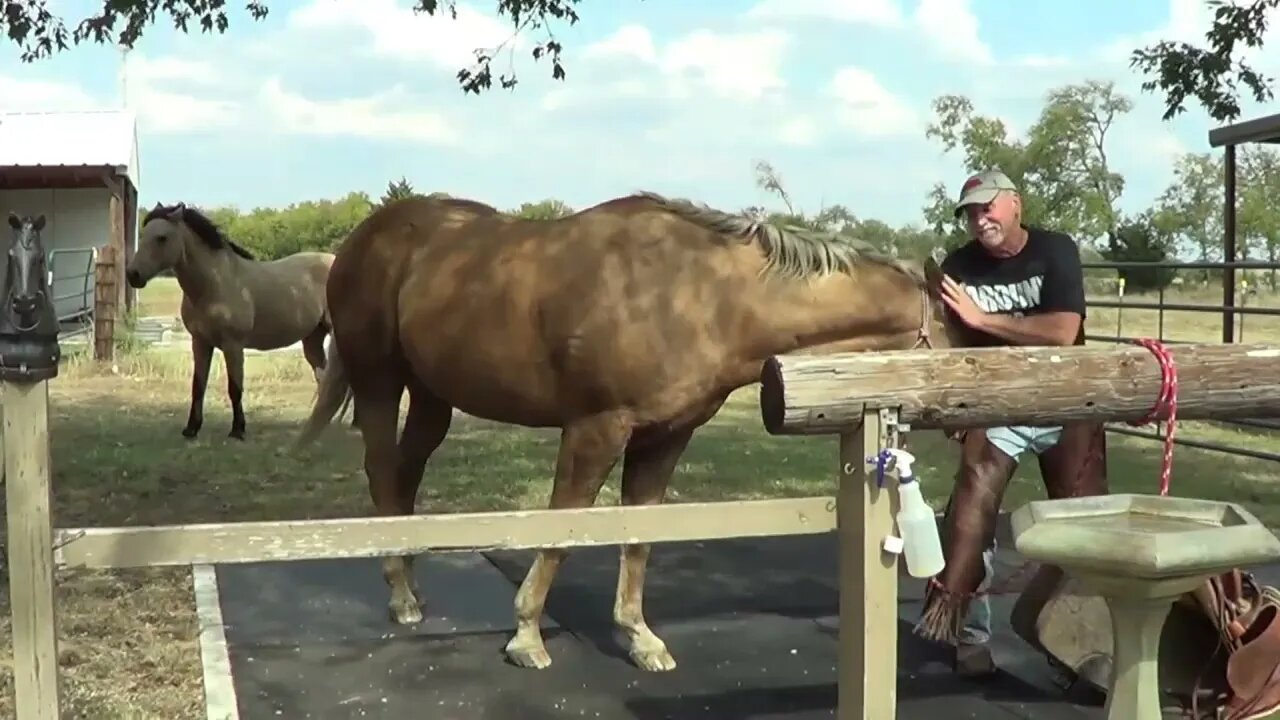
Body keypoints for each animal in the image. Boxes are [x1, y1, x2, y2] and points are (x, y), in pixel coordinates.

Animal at [124, 202, 332, 438]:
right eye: (143, 236)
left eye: (162, 237)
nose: (133, 274)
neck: (215, 283)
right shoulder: (200, 342)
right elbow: (198, 385)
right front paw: (191, 428)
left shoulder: (233, 346)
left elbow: (235, 388)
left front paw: (238, 429)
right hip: (313, 338)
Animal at [296, 192, 962, 671]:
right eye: (962, 338)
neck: (705, 295)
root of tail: (364, 237)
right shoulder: (596, 430)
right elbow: (564, 530)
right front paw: (527, 635)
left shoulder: (666, 436)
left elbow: (640, 536)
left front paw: (640, 638)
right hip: (379, 380)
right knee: (382, 469)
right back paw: (401, 597)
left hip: (435, 395)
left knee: (406, 472)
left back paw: (411, 584)